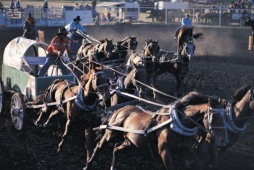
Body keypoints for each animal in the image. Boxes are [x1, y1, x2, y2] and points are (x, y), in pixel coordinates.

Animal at [84, 93, 228, 170]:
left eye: (225, 116)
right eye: (215, 117)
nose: (222, 140)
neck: (176, 123)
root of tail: (120, 110)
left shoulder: (185, 148)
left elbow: (197, 162)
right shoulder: (164, 151)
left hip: (131, 142)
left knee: (116, 148)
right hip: (111, 133)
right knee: (98, 146)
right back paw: (88, 164)